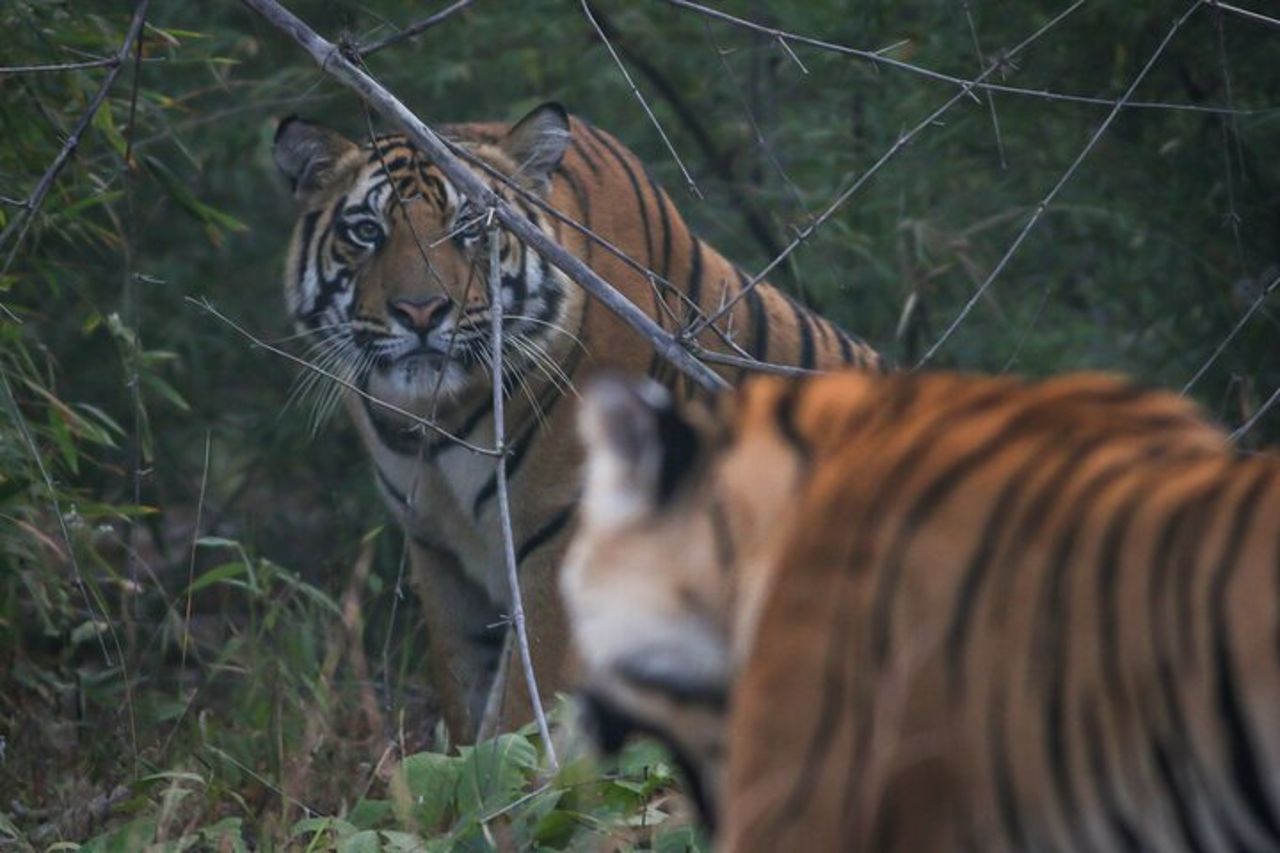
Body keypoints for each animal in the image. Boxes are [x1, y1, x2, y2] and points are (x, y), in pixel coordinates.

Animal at [270, 101, 882, 743]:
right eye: (367, 231)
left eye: (471, 228)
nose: (421, 311)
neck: (434, 419)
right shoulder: (437, 550)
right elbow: (465, 700)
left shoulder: (566, 533)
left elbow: (523, 705)